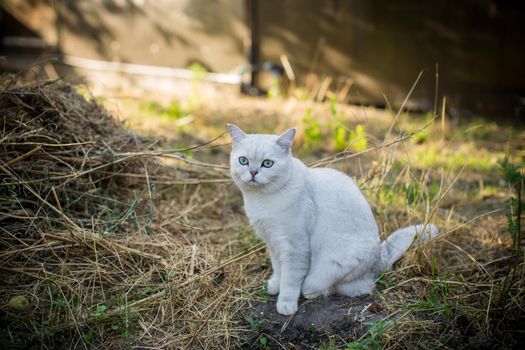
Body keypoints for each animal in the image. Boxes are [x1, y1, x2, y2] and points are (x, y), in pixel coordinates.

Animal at [227, 124, 436, 316]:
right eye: (243, 161)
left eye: (267, 164)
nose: (253, 172)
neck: (261, 200)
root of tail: (380, 258)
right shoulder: (273, 243)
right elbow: (278, 270)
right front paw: (274, 286)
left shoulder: (295, 247)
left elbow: (290, 279)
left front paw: (286, 304)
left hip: (332, 267)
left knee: (347, 287)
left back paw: (312, 292)